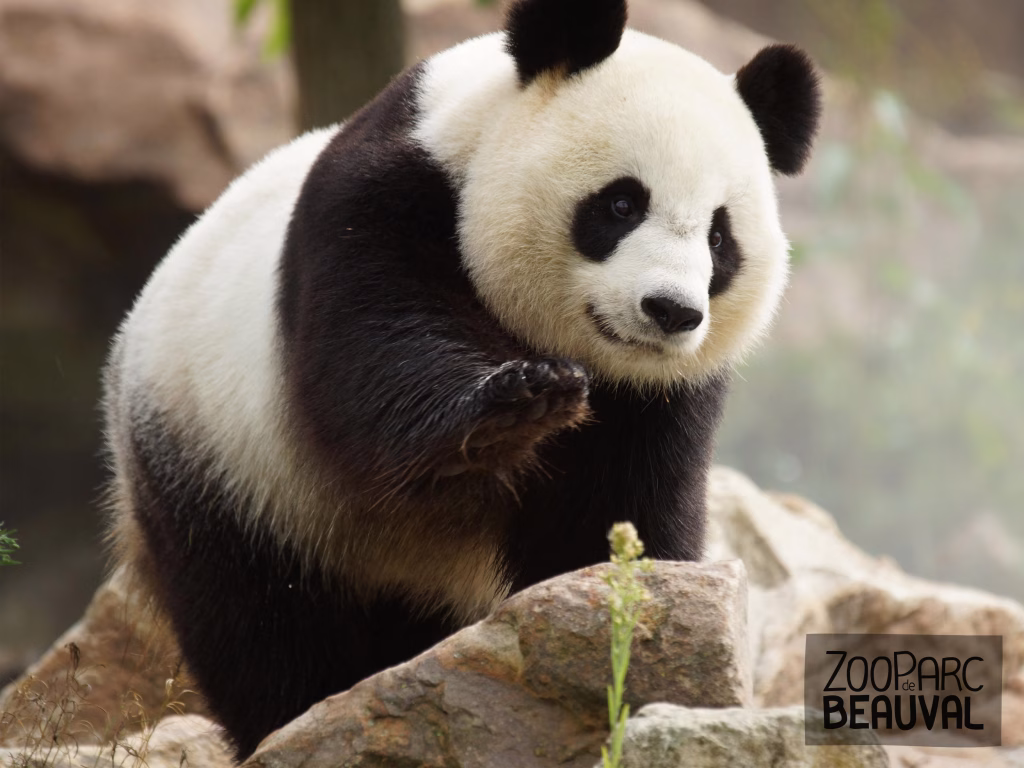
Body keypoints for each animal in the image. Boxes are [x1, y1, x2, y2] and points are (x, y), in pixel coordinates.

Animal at [103, 0, 820, 758]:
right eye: (623, 204)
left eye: (719, 238)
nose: (672, 311)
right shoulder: (381, 205)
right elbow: (378, 352)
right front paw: (517, 405)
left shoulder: (658, 399)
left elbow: (612, 514)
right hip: (224, 464)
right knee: (260, 621)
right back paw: (292, 715)